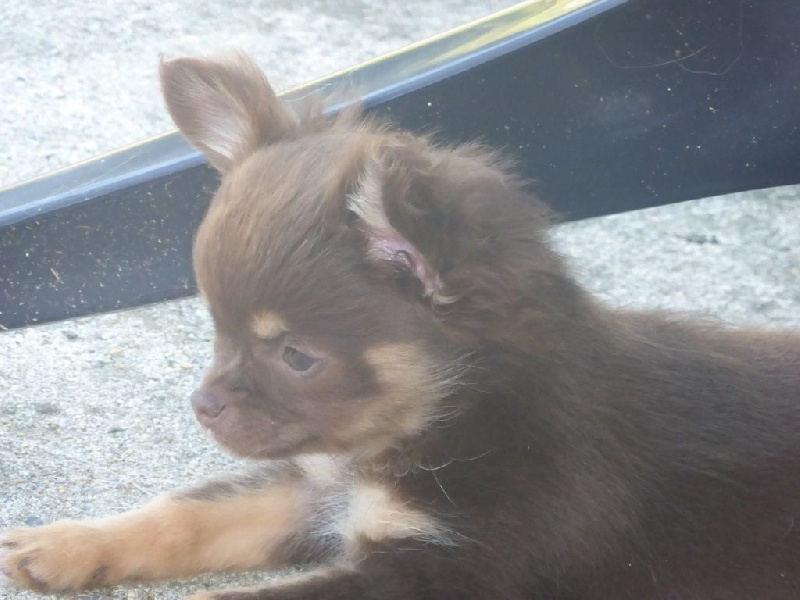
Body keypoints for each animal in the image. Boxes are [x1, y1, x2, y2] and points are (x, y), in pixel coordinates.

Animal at [2, 50, 800, 600]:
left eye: (296, 356)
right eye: (216, 329)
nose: (202, 406)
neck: (451, 417)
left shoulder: (442, 567)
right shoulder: (316, 486)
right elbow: (186, 511)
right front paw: (65, 542)